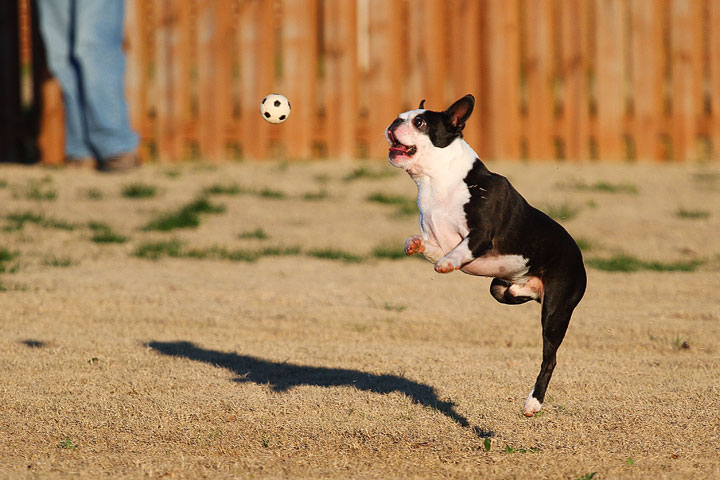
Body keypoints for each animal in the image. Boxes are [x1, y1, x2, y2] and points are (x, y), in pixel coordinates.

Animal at [388, 94, 584, 416]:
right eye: (400, 116)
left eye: (420, 122)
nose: (394, 122)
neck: (438, 182)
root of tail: (580, 256)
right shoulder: (438, 239)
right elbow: (425, 245)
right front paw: (413, 244)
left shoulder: (481, 236)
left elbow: (460, 250)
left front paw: (447, 264)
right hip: (499, 289)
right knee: (512, 293)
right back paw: (520, 288)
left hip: (556, 311)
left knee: (550, 358)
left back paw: (533, 403)